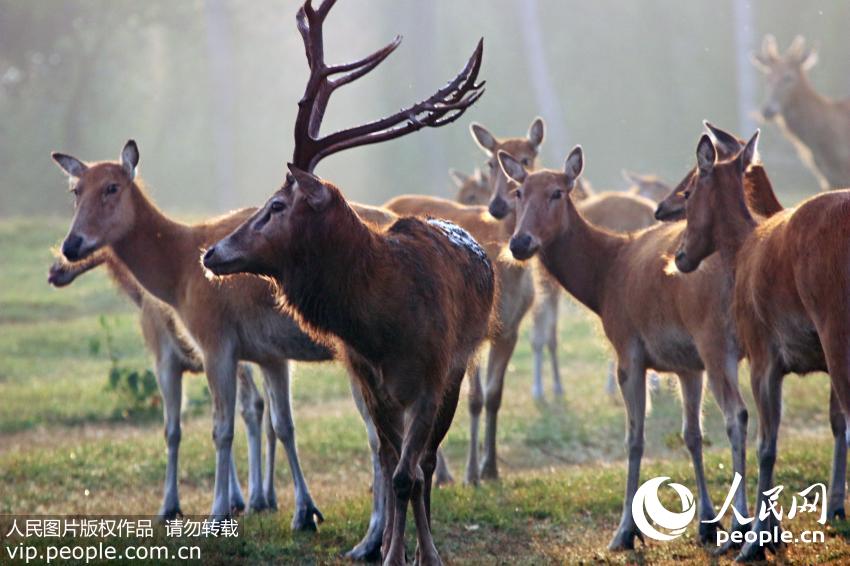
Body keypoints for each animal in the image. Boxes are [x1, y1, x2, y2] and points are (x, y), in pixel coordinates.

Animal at [46, 251, 274, 520]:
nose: (55, 271)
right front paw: (233, 500)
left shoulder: (166, 359)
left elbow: (173, 431)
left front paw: (170, 505)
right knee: (265, 410)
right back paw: (267, 497)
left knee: (255, 405)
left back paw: (259, 498)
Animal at [672, 132, 848, 564]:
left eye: (688, 191)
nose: (679, 255)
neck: (740, 250)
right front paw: (769, 533)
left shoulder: (762, 355)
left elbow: (764, 445)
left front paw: (754, 540)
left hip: (838, 330)